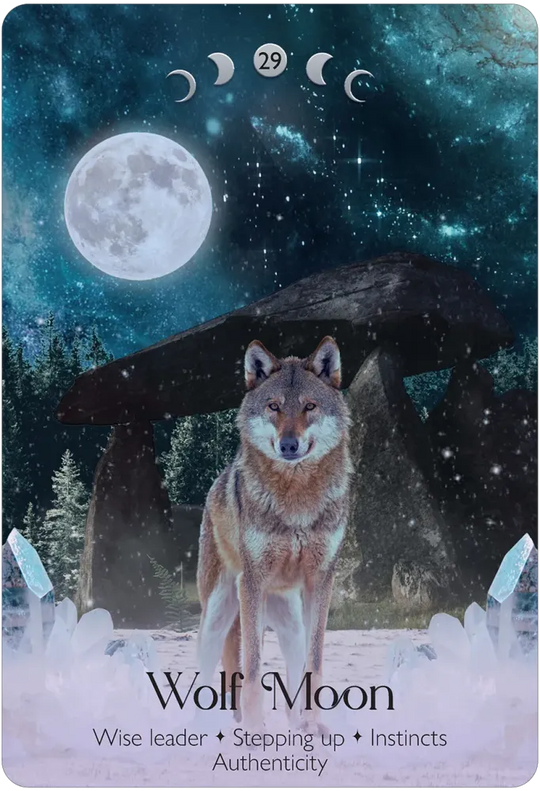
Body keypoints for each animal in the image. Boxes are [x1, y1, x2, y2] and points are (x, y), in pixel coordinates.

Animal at [196, 336, 353, 729]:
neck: (295, 503)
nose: (289, 445)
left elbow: (315, 663)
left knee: (292, 675)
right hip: (219, 614)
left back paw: (298, 724)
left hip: (291, 625)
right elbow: (251, 669)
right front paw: (255, 731)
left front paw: (313, 727)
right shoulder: (252, 582)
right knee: (204, 674)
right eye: (274, 407)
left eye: (309, 406)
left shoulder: (320, 581)